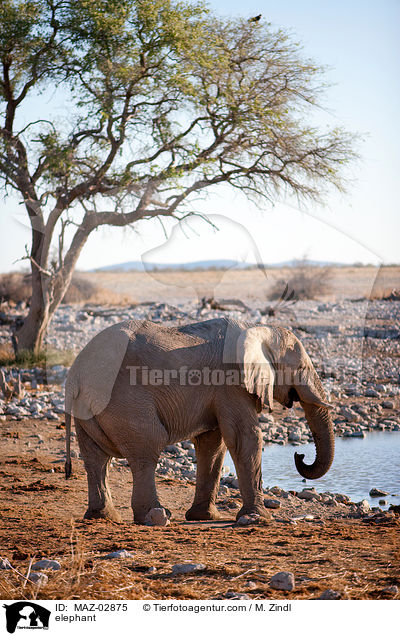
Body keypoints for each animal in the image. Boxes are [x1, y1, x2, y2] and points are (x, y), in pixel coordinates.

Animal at [65, 316, 334, 524]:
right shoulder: (231, 383)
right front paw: (258, 519)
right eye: (301, 368)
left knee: (96, 459)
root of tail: (75, 374)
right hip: (124, 401)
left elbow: (212, 445)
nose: (299, 455)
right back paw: (156, 517)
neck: (258, 328)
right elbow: (245, 437)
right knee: (146, 450)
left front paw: (204, 517)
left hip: (89, 408)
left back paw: (103, 517)